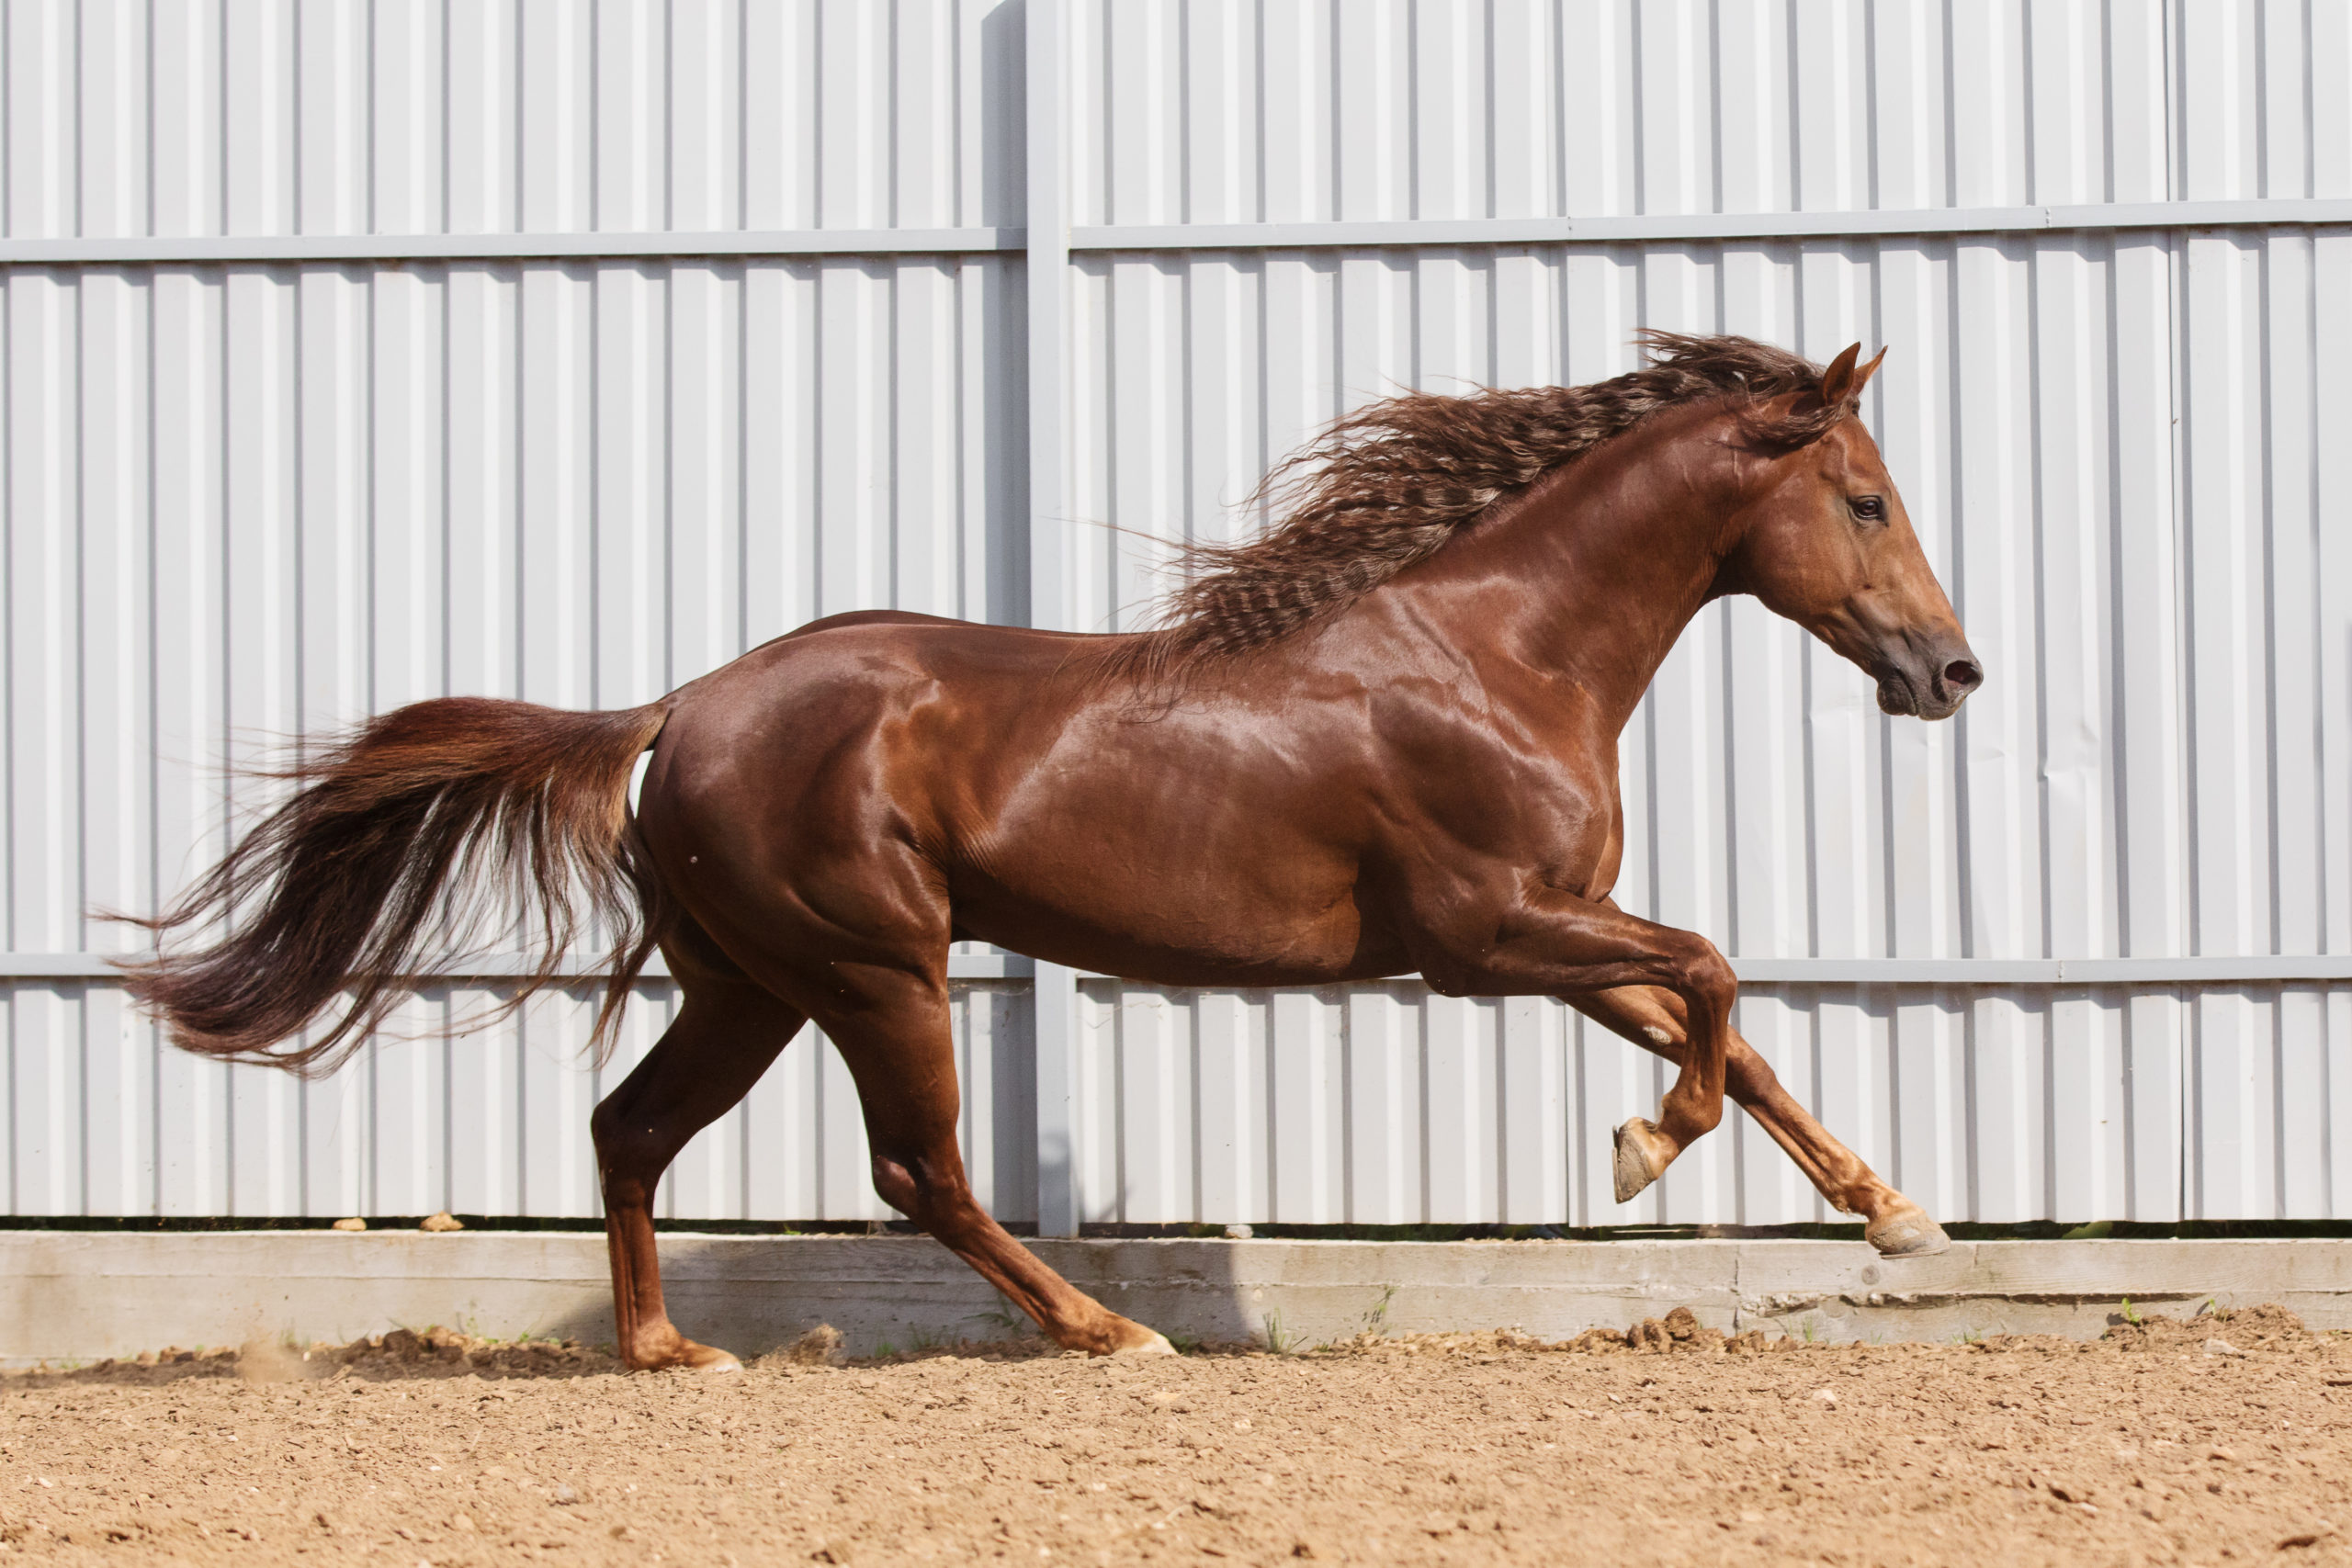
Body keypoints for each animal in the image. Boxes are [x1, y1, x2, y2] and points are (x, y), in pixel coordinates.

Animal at [122, 332, 1981, 1370]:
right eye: (1869, 498)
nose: (1951, 673)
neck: (1498, 649)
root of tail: (678, 711)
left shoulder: (1554, 923)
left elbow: (1732, 1029)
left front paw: (1896, 1218)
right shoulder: (1491, 931)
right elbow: (1714, 979)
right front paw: (1644, 1151)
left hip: (752, 984)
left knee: (631, 1127)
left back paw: (669, 1353)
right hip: (875, 966)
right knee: (917, 1171)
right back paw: (1107, 1327)